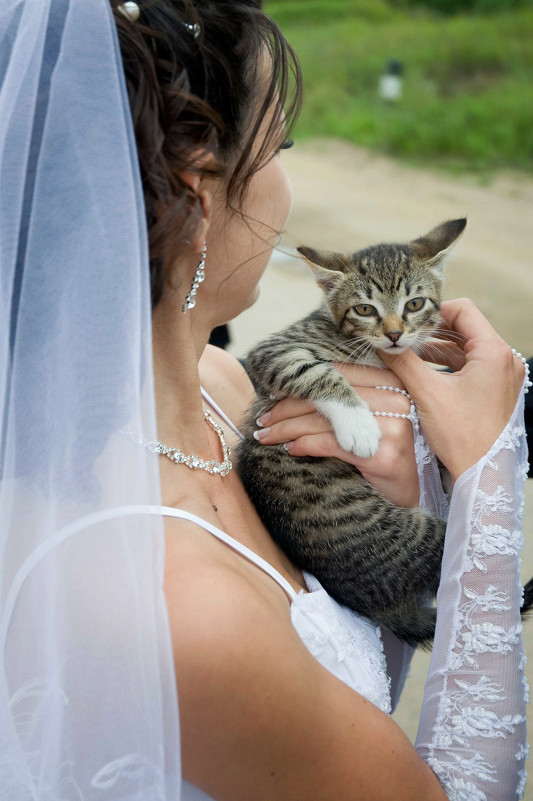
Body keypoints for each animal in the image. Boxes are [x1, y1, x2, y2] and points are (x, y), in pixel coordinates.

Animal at [235, 217, 464, 644]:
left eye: (414, 303)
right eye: (364, 309)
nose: (394, 334)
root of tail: (373, 606)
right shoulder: (274, 352)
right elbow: (316, 372)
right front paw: (360, 427)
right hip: (422, 536)